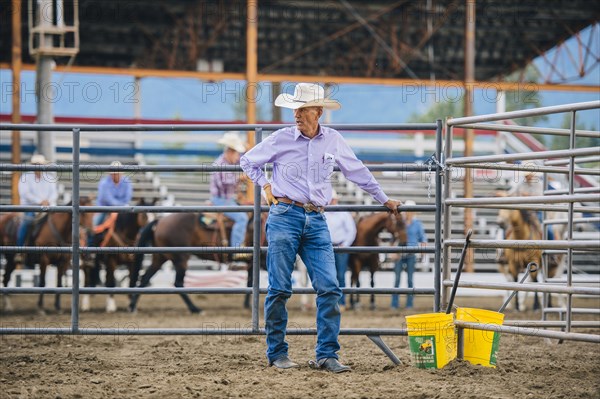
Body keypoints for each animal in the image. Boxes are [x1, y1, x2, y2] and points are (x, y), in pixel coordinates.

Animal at [127, 211, 262, 314]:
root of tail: (160, 221)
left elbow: (250, 281)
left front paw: (247, 305)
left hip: (160, 258)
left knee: (145, 278)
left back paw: (132, 307)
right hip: (181, 259)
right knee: (178, 283)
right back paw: (195, 309)